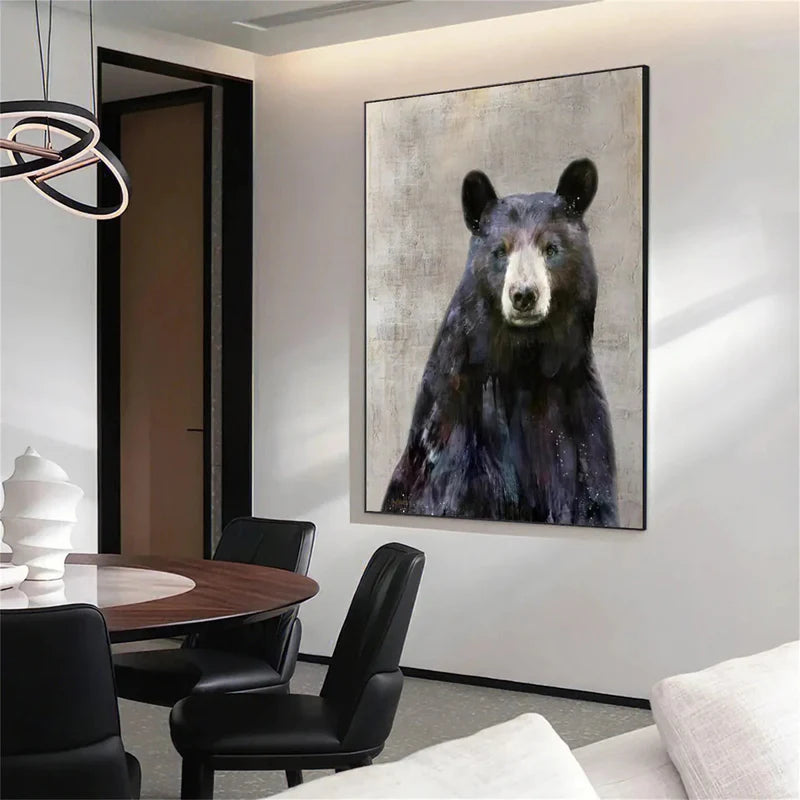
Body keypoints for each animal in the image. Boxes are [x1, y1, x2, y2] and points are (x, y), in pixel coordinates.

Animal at [381, 159, 619, 528]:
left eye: (551, 248)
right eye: (499, 251)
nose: (523, 295)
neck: (524, 363)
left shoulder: (580, 420)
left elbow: (591, 497)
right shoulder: (457, 427)